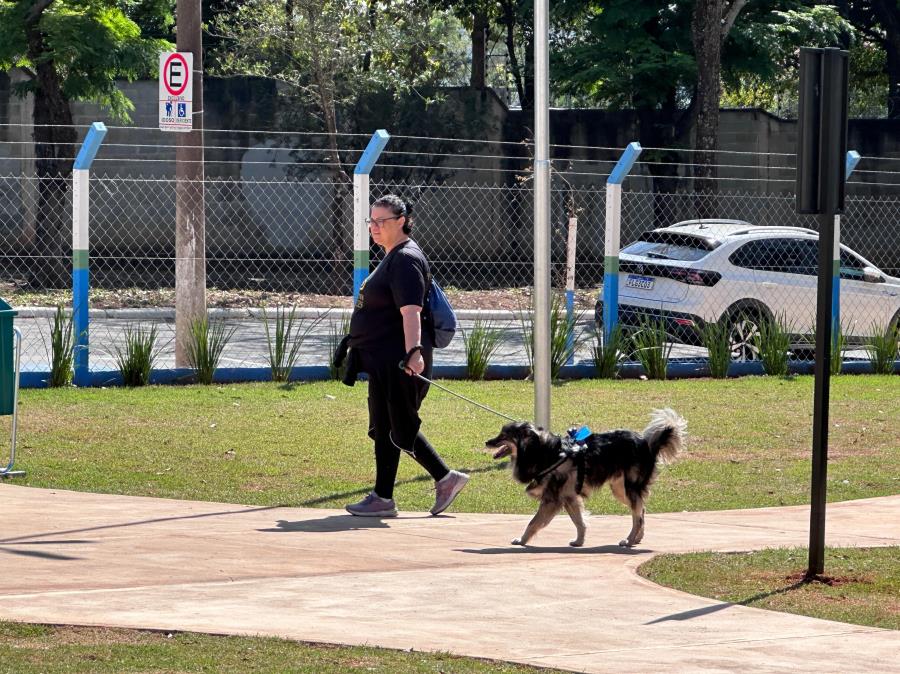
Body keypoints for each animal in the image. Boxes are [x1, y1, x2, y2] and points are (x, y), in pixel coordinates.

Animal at [488, 410, 684, 544]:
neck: (545, 451)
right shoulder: (569, 497)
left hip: (629, 488)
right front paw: (579, 541)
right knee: (641, 511)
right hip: (619, 489)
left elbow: (533, 522)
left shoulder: (552, 499)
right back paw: (636, 538)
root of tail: (648, 446)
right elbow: (579, 522)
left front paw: (521, 540)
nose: (487, 442)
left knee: (638, 516)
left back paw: (629, 540)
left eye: (504, 435)